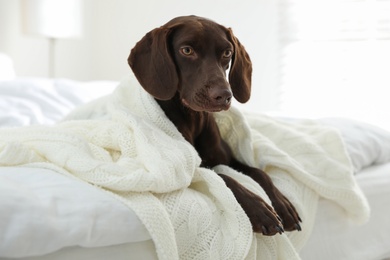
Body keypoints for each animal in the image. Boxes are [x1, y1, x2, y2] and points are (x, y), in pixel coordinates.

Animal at [129, 15, 302, 236]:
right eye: (187, 50)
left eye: (227, 53)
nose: (224, 95)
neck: (194, 120)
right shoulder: (196, 171)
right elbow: (223, 177)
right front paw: (260, 209)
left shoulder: (229, 159)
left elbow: (260, 173)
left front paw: (282, 204)